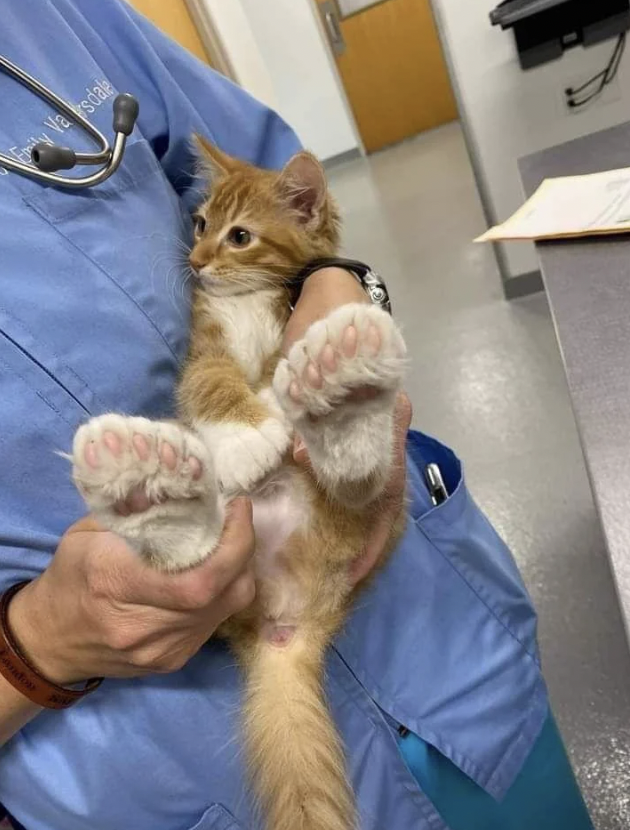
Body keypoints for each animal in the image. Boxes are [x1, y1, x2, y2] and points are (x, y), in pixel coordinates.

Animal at [71, 138, 410, 830]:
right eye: (200, 224)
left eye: (240, 236)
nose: (196, 260)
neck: (247, 299)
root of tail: (292, 619)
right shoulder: (206, 348)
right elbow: (215, 383)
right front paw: (250, 436)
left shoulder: (285, 322)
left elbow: (280, 367)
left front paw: (283, 400)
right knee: (196, 544)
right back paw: (145, 485)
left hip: (369, 516)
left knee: (359, 483)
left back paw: (345, 391)